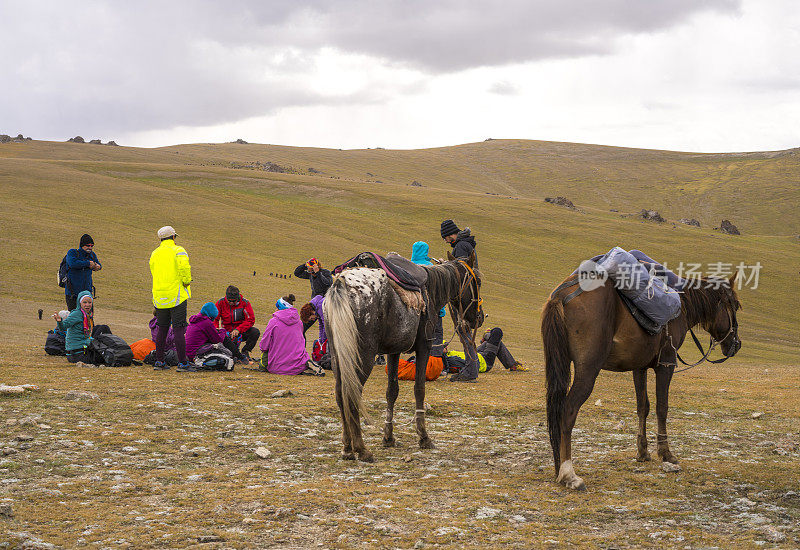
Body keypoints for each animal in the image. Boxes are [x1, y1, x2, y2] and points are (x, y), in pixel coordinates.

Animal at [540, 272, 740, 492]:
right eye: (736, 306)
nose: (737, 344)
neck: (682, 306)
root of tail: (562, 296)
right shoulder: (666, 364)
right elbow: (662, 407)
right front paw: (666, 453)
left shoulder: (639, 367)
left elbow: (643, 407)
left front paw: (643, 452)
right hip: (588, 370)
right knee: (568, 410)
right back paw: (569, 473)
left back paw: (558, 467)